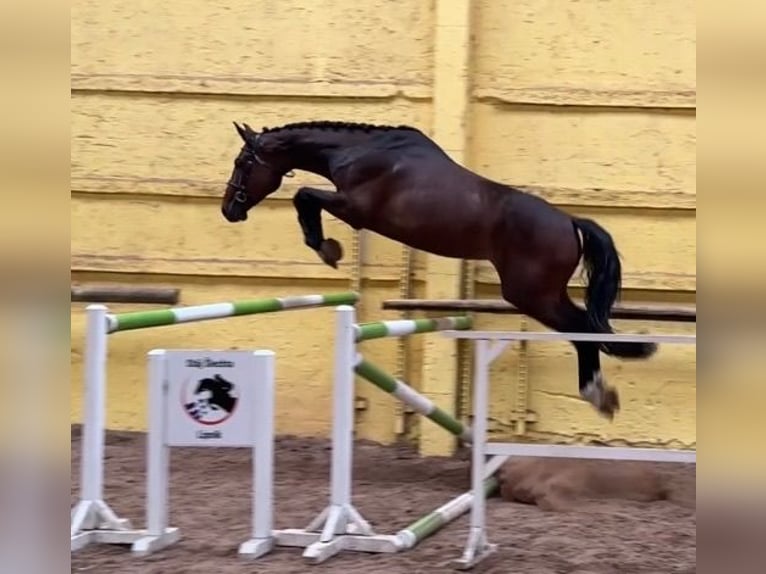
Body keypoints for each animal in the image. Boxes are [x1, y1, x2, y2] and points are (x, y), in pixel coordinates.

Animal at [219, 121, 656, 420]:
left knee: (581, 329)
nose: (229, 210)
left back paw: (597, 393)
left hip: (531, 294)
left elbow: (303, 196)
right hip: (542, 293)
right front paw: (328, 247)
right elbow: (305, 196)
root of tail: (569, 222)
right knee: (585, 328)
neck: (362, 153)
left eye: (242, 162)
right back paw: (601, 394)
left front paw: (327, 248)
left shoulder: (354, 209)